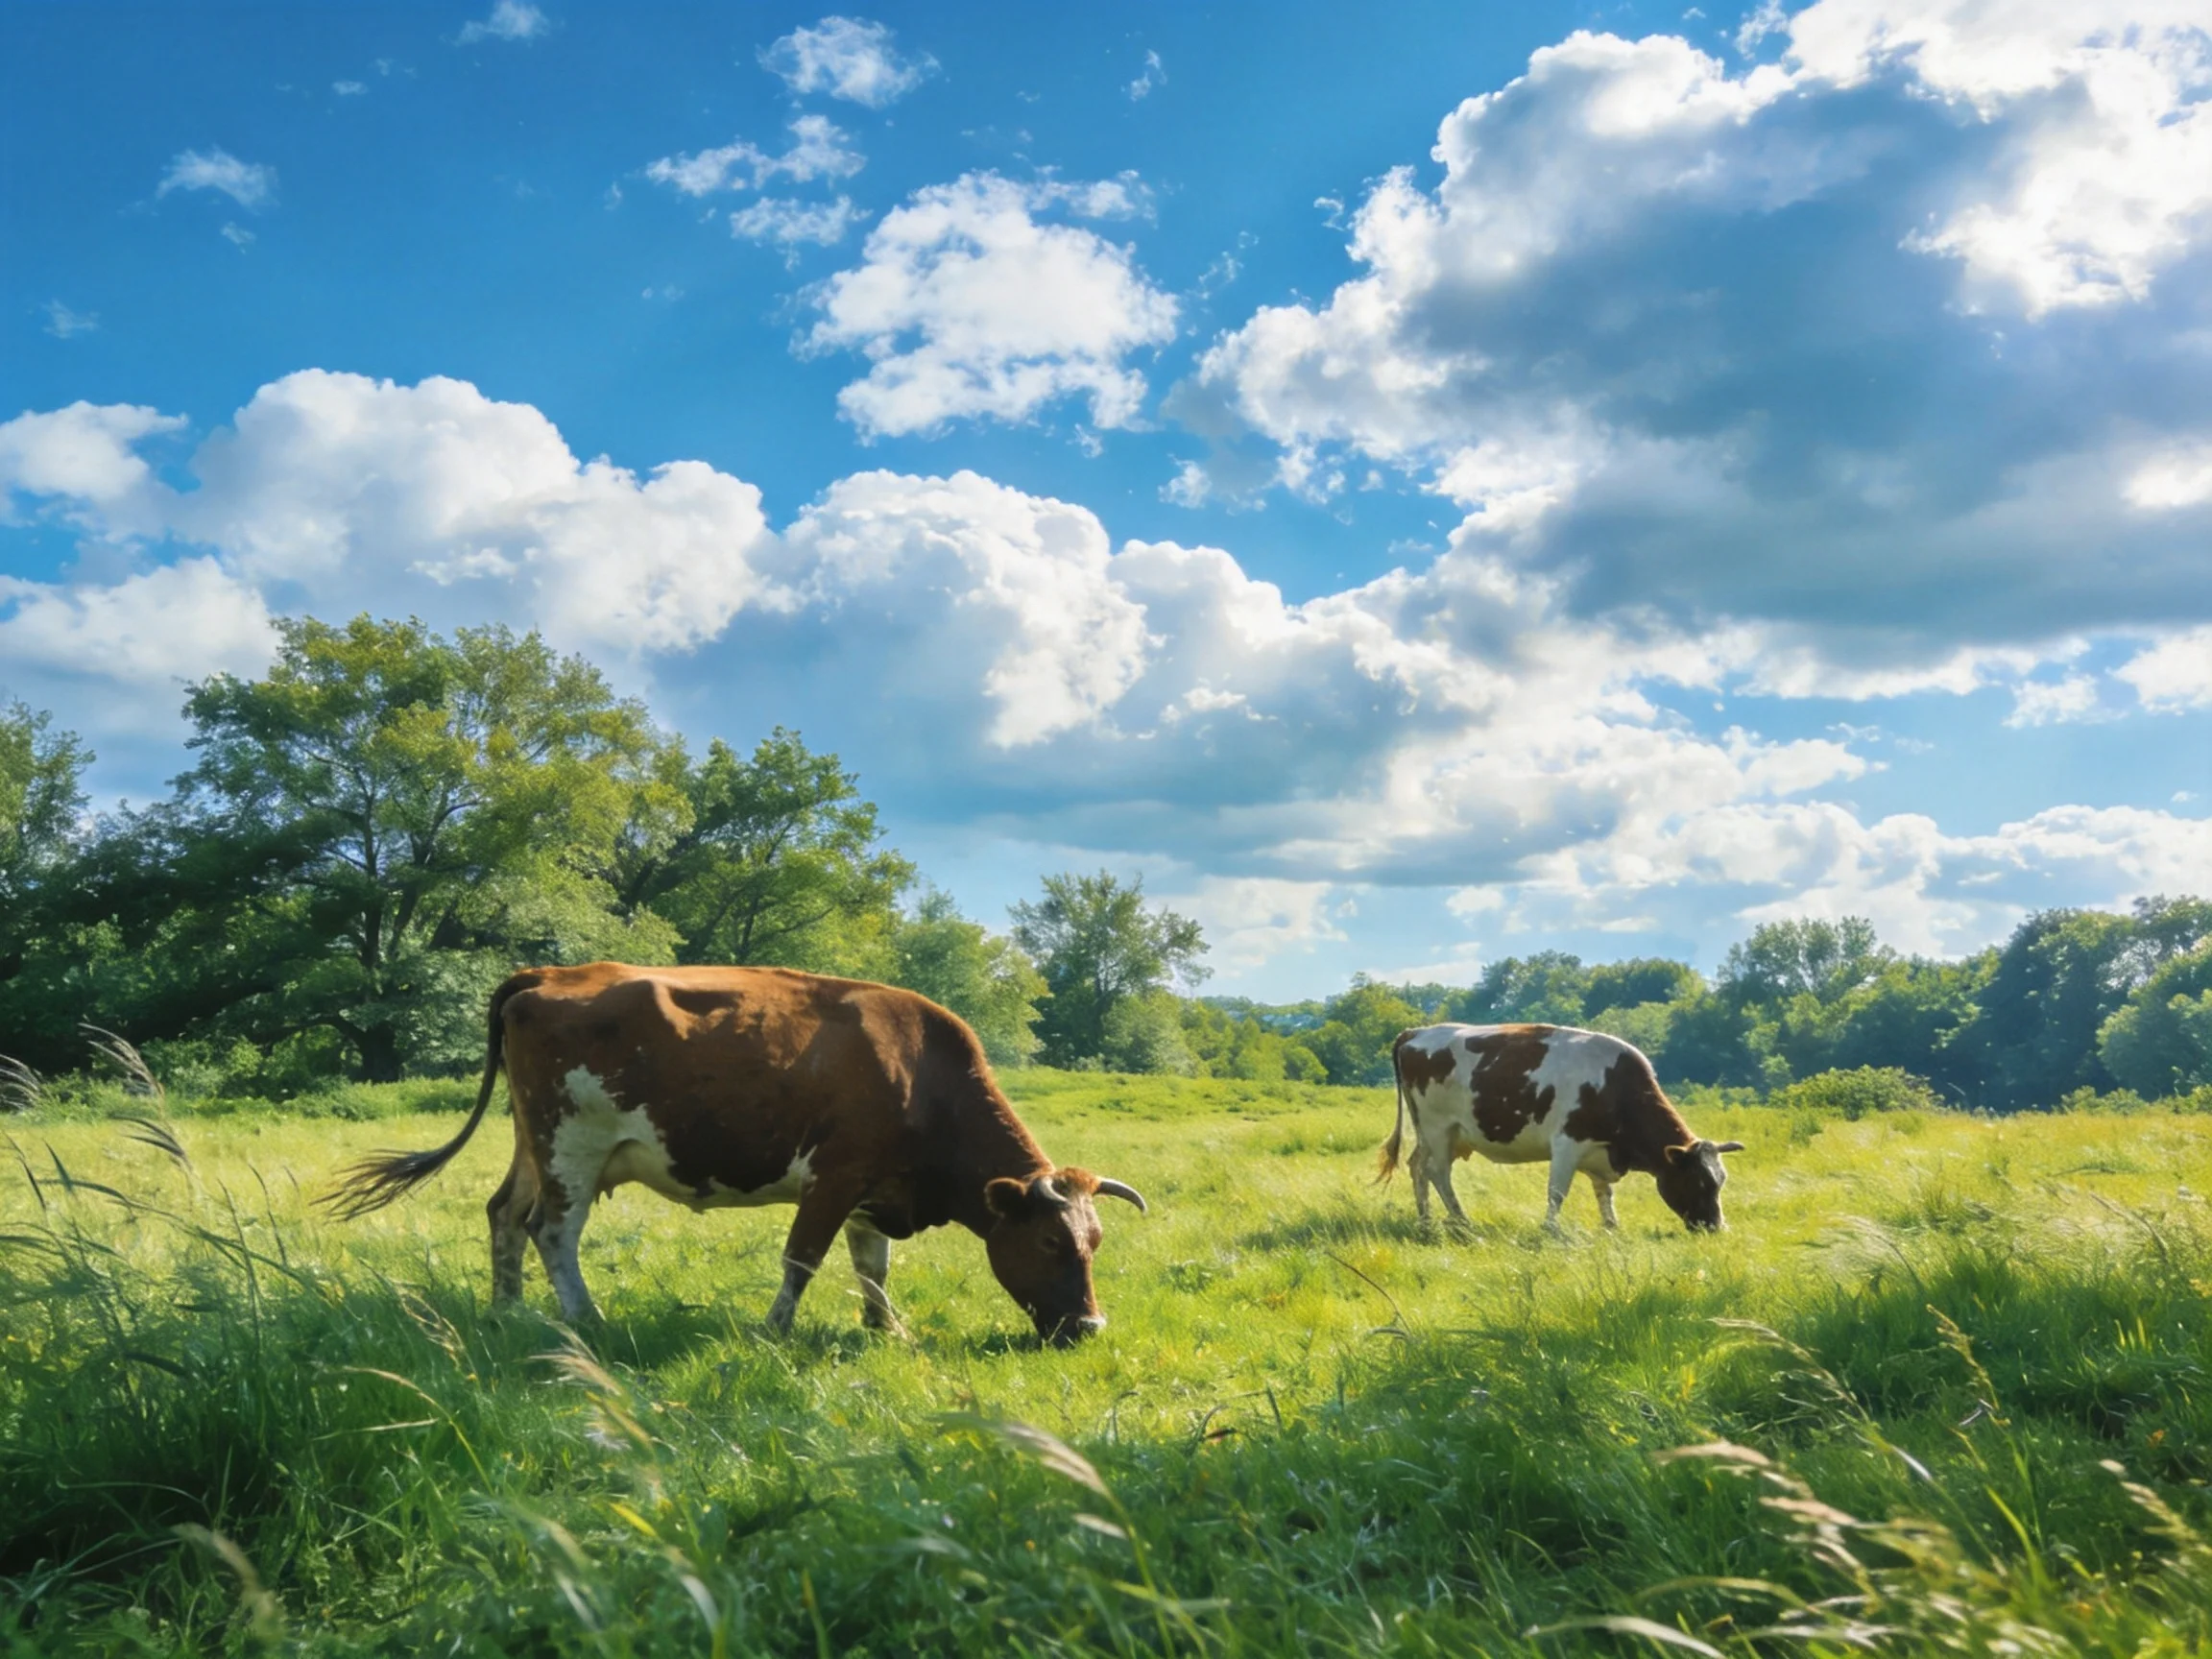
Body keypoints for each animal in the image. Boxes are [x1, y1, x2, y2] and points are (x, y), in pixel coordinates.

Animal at [326, 963, 1148, 1345]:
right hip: (572, 1144)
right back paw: (586, 1319)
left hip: (536, 1144)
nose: (1092, 1328)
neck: (921, 1075)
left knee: (504, 1215)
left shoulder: (874, 1190)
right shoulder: (835, 1177)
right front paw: (775, 1332)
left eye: (1097, 1242)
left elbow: (872, 1265)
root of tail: (549, 974)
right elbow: (803, 1259)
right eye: (1049, 1242)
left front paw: (886, 1328)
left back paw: (509, 1311)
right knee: (551, 1231)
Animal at [1378, 1024, 1743, 1233]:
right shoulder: (1568, 1143)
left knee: (1417, 1166)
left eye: (1721, 1181)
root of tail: (1416, 1032)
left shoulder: (1600, 1151)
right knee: (1437, 1172)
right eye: (1698, 1181)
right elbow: (1557, 1192)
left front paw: (1611, 1227)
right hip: (1438, 1127)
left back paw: (1426, 1221)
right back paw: (1461, 1221)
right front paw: (1550, 1230)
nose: (1717, 1227)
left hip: (1442, 1134)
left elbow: (1604, 1193)